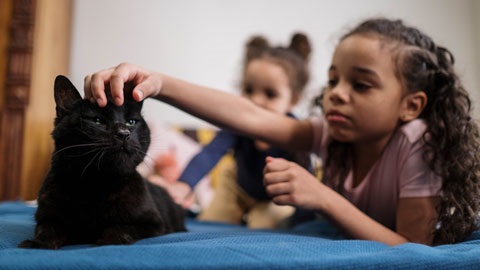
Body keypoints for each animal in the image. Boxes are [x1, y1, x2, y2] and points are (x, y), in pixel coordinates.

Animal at [17, 75, 186, 249]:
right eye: (97, 120)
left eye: (131, 122)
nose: (124, 133)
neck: (97, 184)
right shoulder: (46, 215)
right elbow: (48, 229)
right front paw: (38, 243)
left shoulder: (153, 223)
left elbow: (121, 227)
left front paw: (108, 241)